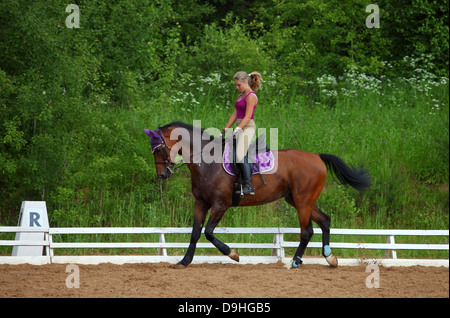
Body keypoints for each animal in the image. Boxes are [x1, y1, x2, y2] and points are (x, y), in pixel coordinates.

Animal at [146, 121, 370, 268]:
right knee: (324, 220)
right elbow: (195, 233)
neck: (207, 163)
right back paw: (329, 257)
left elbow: (208, 232)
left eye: (159, 149)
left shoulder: (221, 204)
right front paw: (184, 261)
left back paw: (295, 262)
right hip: (298, 200)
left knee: (307, 231)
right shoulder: (201, 203)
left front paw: (233, 254)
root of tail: (317, 156)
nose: (162, 175)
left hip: (303, 201)